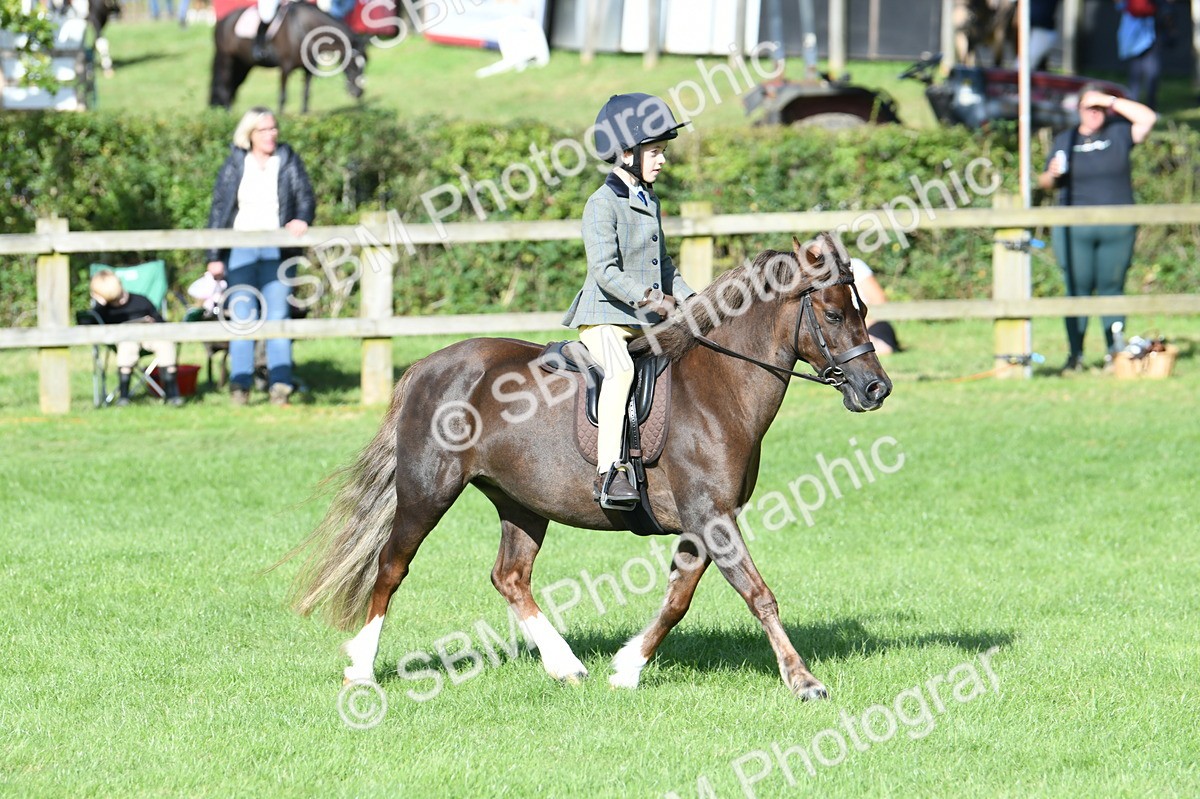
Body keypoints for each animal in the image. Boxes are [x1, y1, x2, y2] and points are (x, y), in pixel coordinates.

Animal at [209, 2, 366, 114]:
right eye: (352, 64)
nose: (359, 93)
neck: (304, 29)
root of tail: (223, 20)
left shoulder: (308, 70)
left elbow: (306, 93)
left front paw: (304, 114)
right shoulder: (285, 68)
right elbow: (283, 95)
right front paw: (280, 115)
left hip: (244, 64)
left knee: (233, 85)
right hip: (227, 59)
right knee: (225, 85)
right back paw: (228, 112)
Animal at [284, 234, 893, 700]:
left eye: (863, 310)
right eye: (833, 313)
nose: (876, 389)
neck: (718, 386)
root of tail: (428, 366)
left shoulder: (706, 521)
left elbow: (678, 598)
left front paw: (626, 670)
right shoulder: (711, 517)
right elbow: (757, 593)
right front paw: (804, 681)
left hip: (521, 502)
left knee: (510, 577)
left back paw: (566, 666)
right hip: (426, 493)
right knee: (391, 568)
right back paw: (362, 671)